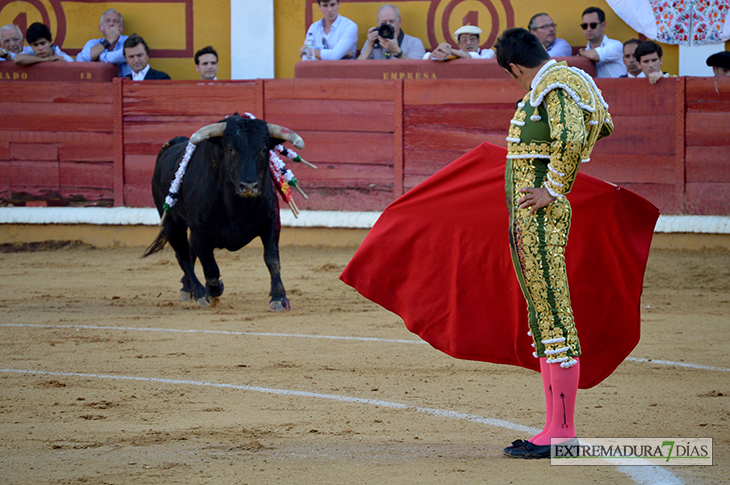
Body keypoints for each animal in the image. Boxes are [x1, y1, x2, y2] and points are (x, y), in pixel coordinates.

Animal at [141, 114, 302, 310]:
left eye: (264, 149)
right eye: (230, 149)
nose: (249, 186)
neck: (237, 207)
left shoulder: (270, 221)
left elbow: (272, 260)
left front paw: (279, 297)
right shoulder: (199, 232)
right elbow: (210, 268)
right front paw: (213, 291)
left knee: (189, 253)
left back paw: (187, 288)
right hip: (172, 223)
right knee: (183, 256)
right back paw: (199, 292)